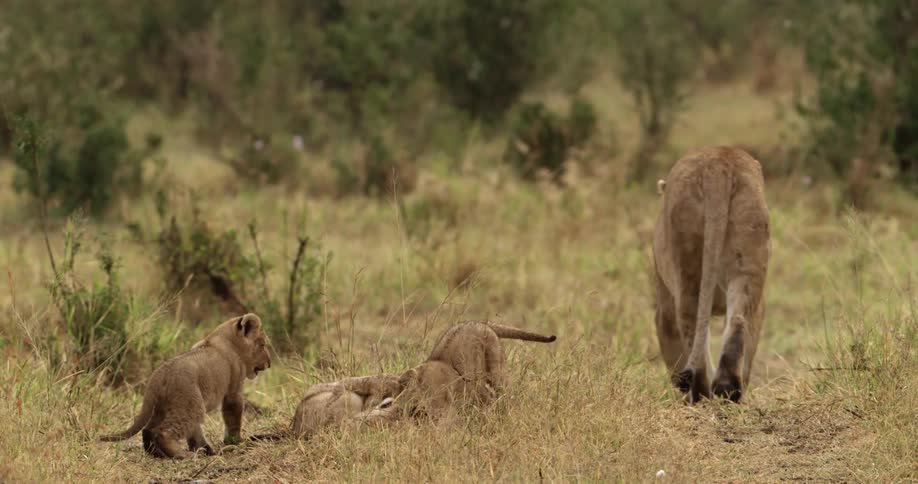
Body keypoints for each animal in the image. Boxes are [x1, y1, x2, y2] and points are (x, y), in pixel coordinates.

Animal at [100, 313, 271, 459]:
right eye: (262, 345)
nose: (269, 363)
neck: (225, 337)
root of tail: (159, 375)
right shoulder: (233, 390)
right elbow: (233, 416)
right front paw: (235, 441)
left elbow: (196, 431)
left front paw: (204, 449)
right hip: (190, 405)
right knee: (163, 432)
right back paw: (182, 455)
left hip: (163, 408)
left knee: (148, 429)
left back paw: (156, 453)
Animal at [652, 147, 770, 403]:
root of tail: (718, 162)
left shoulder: (664, 300)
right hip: (748, 259)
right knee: (739, 320)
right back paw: (728, 389)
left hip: (687, 262)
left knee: (693, 324)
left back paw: (701, 394)